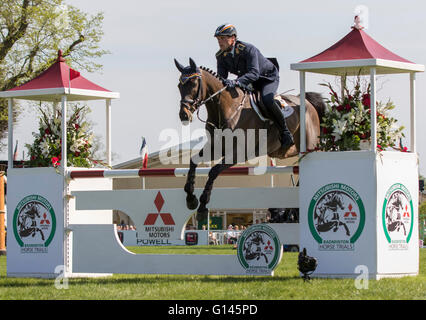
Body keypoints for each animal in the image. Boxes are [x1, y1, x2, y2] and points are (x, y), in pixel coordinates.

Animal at [175, 57, 324, 221]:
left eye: (194, 84)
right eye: (179, 86)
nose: (184, 115)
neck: (227, 109)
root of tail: (308, 103)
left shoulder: (239, 153)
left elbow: (213, 171)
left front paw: (202, 206)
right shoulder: (216, 147)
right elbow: (193, 161)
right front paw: (190, 198)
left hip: (309, 147)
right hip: (288, 151)